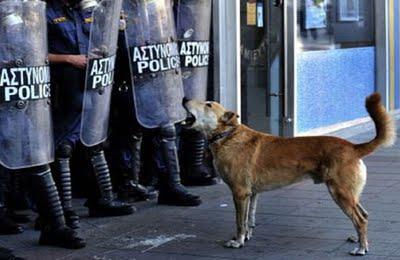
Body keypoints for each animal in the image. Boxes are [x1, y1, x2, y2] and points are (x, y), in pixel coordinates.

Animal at [184, 93, 396, 256]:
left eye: (208, 104)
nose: (185, 98)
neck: (227, 135)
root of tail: (353, 147)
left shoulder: (239, 193)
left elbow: (240, 222)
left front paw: (238, 241)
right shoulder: (252, 194)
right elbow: (250, 218)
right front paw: (248, 237)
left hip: (340, 193)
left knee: (360, 219)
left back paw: (361, 249)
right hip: (350, 193)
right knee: (364, 214)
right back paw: (360, 242)